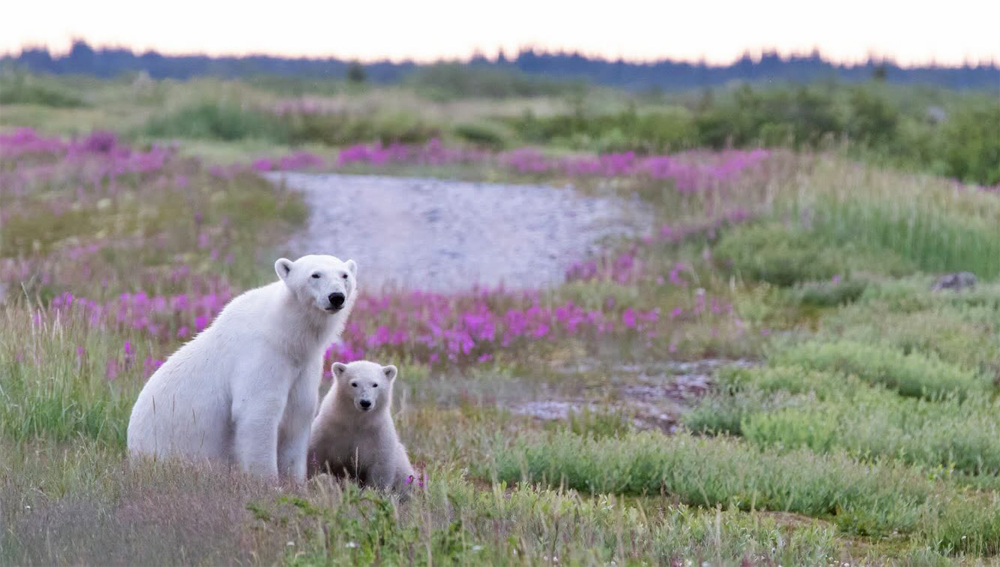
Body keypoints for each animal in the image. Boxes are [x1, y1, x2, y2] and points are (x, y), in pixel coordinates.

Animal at [127, 254, 358, 483]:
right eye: (315, 275)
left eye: (344, 275)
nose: (336, 297)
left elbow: (298, 413)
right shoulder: (261, 355)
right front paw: (268, 482)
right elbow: (257, 412)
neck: (285, 333)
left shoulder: (304, 365)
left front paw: (295, 481)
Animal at [308, 360, 416, 496]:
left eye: (375, 384)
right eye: (354, 384)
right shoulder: (328, 429)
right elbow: (316, 454)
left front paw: (373, 492)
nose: (365, 402)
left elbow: (380, 465)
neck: (357, 422)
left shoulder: (378, 434)